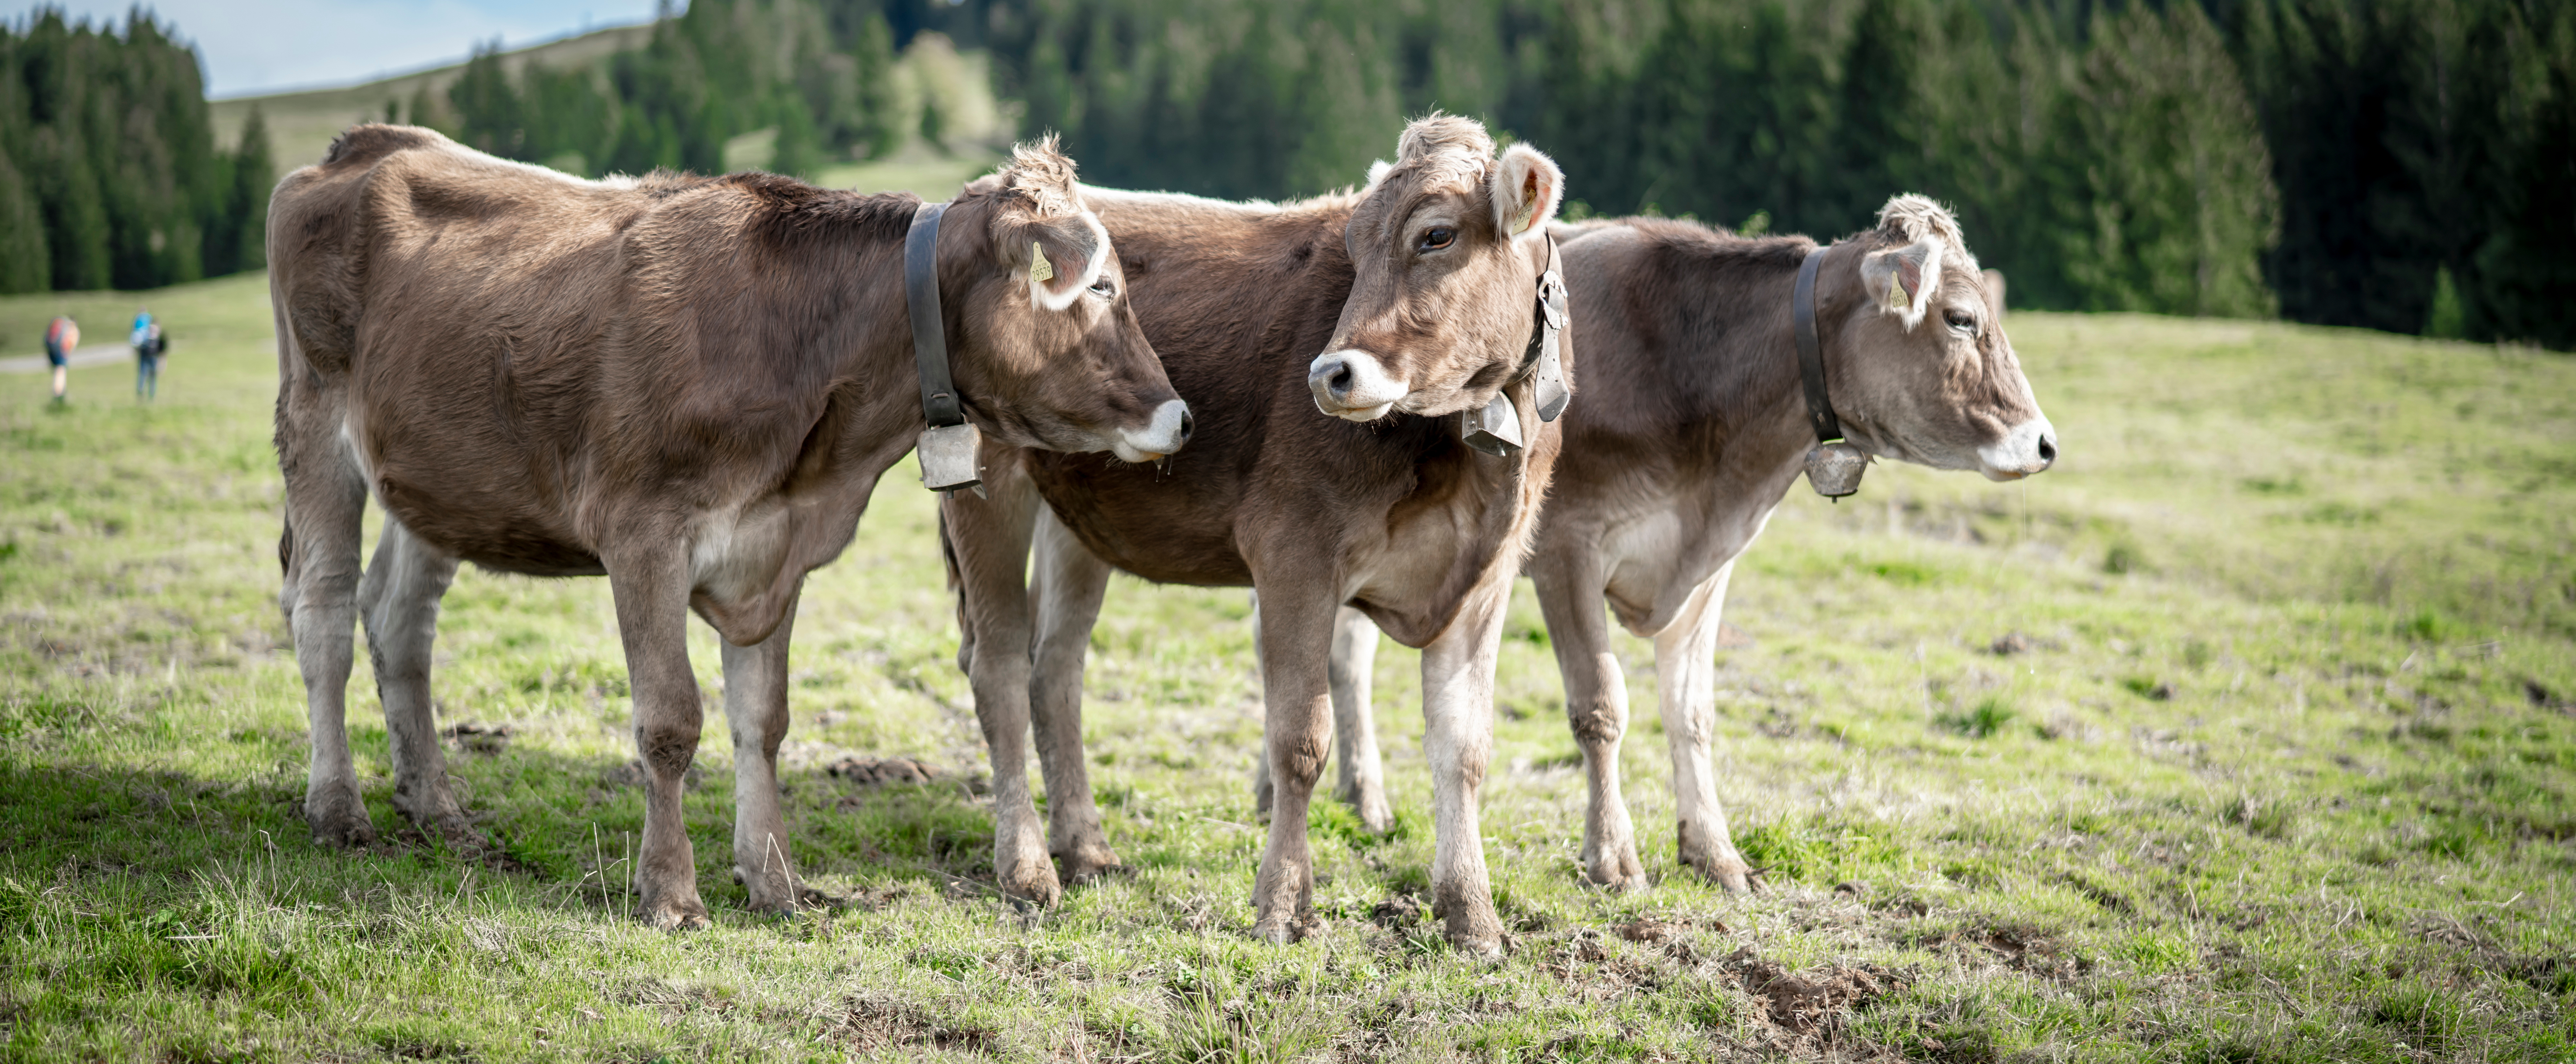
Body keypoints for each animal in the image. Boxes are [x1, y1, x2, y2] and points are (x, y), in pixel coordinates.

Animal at [267, 125, 1187, 929]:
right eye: (1102, 288)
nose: (1181, 418)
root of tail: (365, 144)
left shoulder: (774, 551)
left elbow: (763, 721)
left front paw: (773, 879)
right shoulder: (642, 536)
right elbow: (671, 722)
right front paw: (671, 892)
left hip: (434, 479)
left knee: (399, 624)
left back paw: (436, 808)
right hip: (315, 428)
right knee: (324, 616)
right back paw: (339, 807)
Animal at [939, 115, 1567, 955]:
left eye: (1437, 234)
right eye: (1354, 244)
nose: (1332, 374)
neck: (1460, 455)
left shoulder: (1483, 580)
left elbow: (1463, 752)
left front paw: (1473, 917)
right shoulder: (1293, 552)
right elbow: (1300, 739)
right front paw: (1281, 905)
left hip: (1077, 517)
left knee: (1055, 668)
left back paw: (1088, 845)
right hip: (987, 483)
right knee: (1001, 668)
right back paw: (1028, 866)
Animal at [1303, 197, 2057, 891]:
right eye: (1960, 318)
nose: (2044, 443)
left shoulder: (1708, 566)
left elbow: (1691, 713)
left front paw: (1714, 852)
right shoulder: (1567, 549)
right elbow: (1601, 707)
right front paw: (1613, 856)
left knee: (1347, 653)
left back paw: (1355, 797)